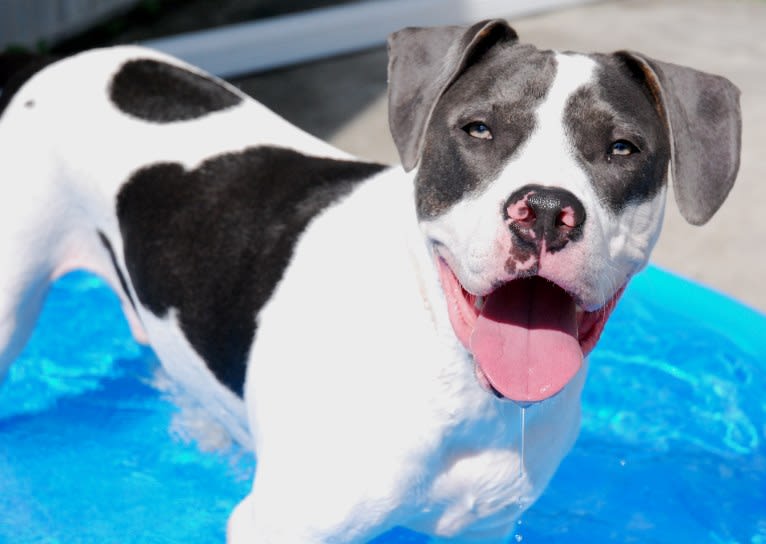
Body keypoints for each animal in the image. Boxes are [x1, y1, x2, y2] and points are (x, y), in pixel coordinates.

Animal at [0, 19, 744, 540]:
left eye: (622, 148)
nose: (543, 210)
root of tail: (77, 60)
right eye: (478, 129)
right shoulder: (279, 528)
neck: (453, 375)